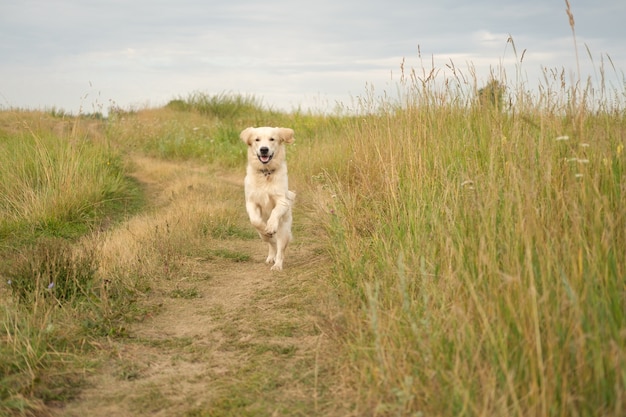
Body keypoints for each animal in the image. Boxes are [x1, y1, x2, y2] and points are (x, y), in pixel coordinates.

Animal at [240, 125, 296, 272]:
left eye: (272, 139)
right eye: (257, 139)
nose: (264, 149)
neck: (266, 173)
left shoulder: (282, 201)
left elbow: (275, 212)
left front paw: (270, 226)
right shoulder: (251, 202)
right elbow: (255, 221)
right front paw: (265, 228)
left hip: (284, 230)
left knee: (280, 249)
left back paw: (277, 265)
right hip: (263, 236)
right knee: (271, 243)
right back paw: (271, 256)